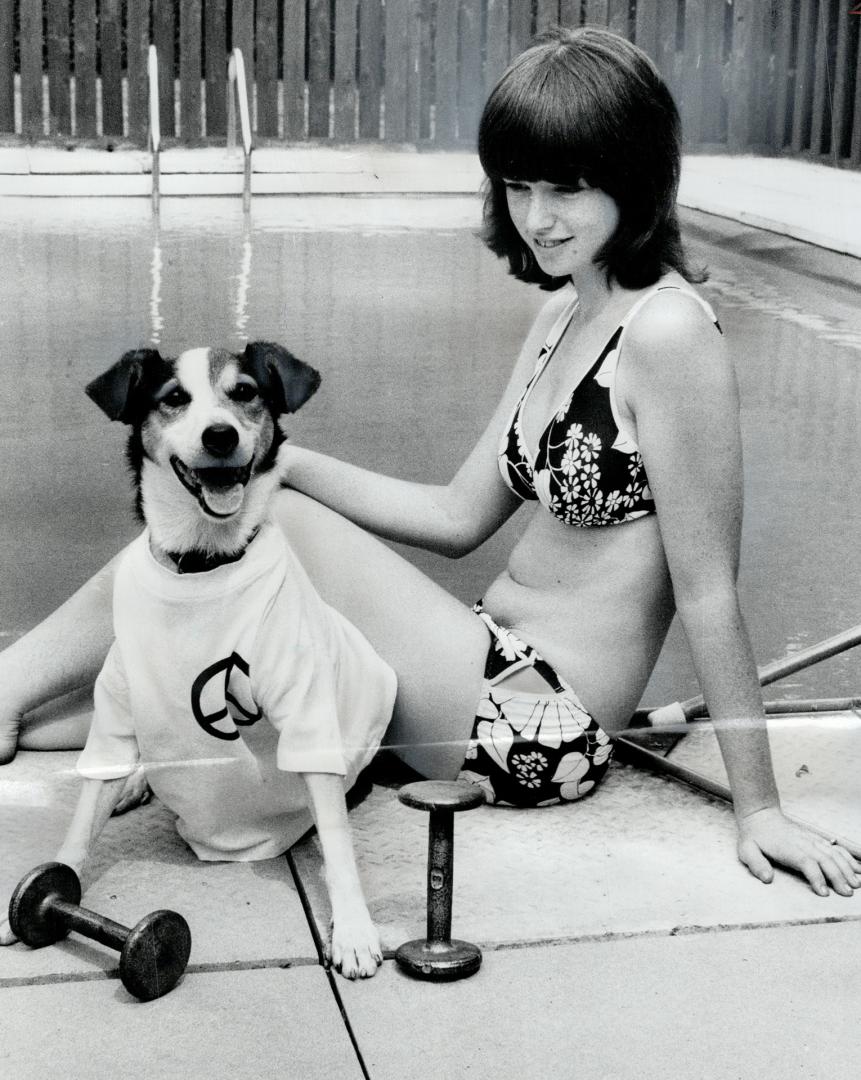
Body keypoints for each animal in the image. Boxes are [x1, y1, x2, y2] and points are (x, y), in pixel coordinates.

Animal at [0, 343, 395, 980]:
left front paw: (355, 930)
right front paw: (51, 887)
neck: (203, 561)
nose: (219, 435)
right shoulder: (117, 707)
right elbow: (82, 819)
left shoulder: (307, 712)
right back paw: (135, 783)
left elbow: (337, 841)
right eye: (174, 399)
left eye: (245, 393)